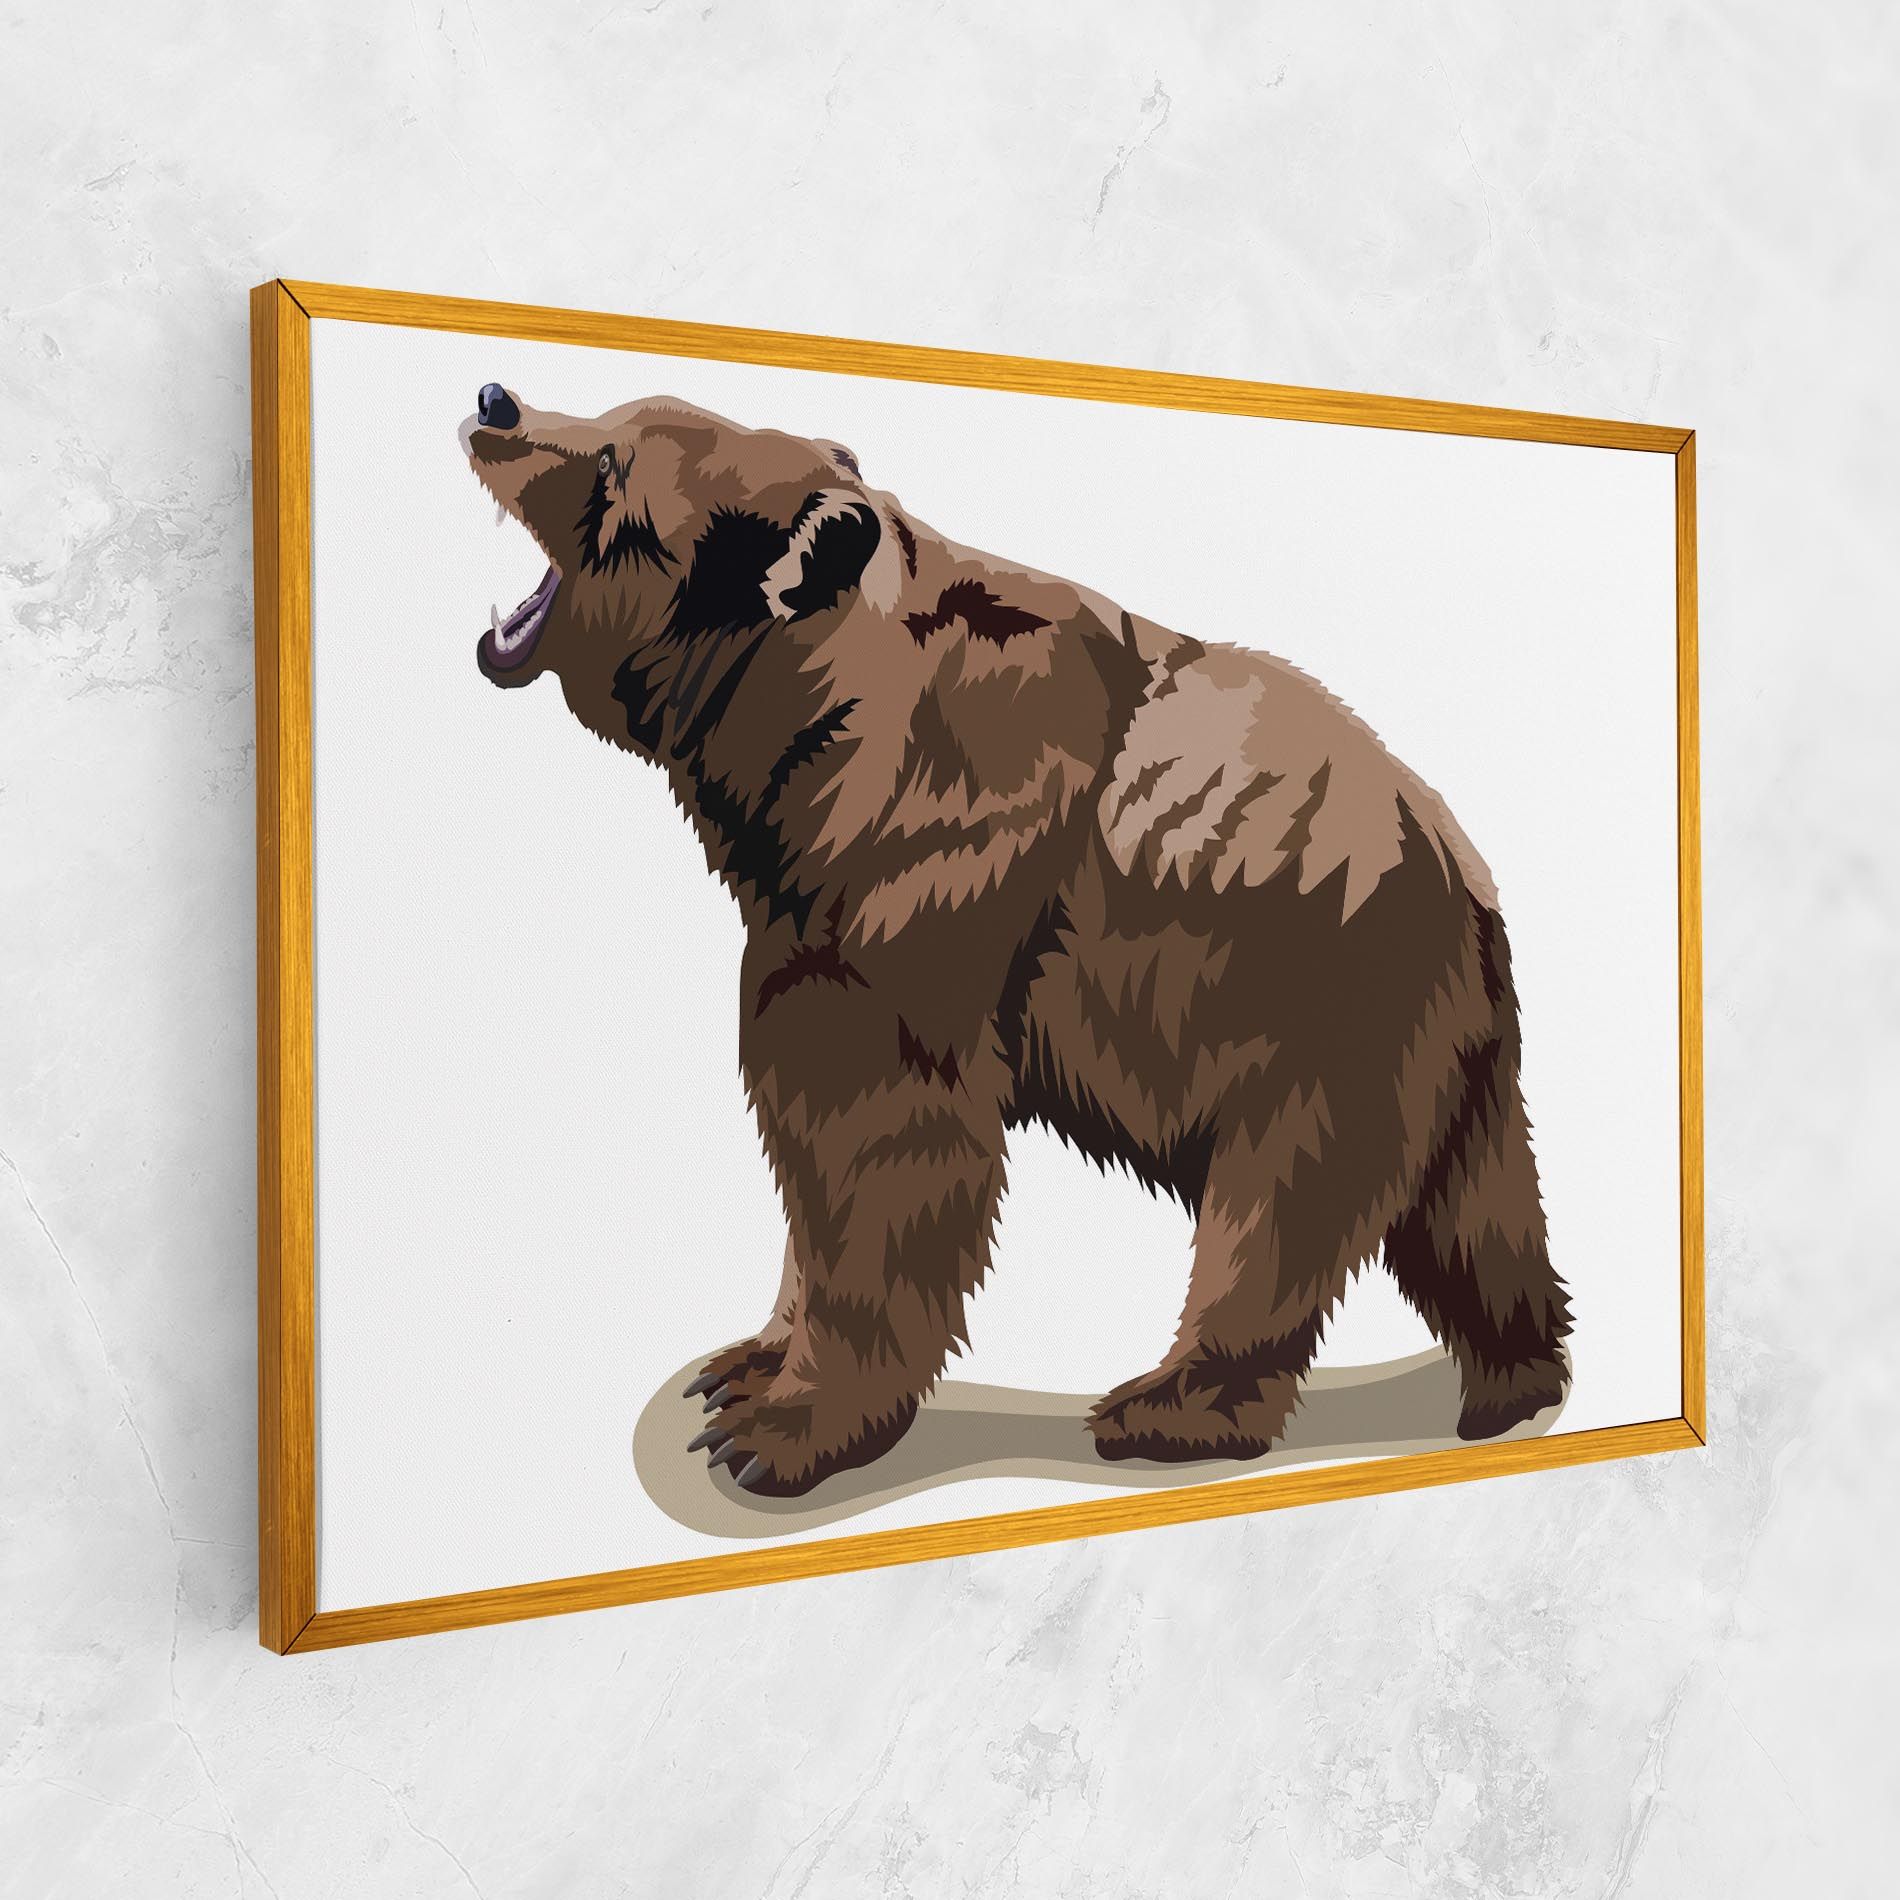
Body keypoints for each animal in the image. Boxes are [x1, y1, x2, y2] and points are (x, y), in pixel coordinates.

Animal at [460, 380, 1572, 1498]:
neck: (794, 741)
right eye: (611, 415)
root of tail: (1467, 871)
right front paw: (742, 1364)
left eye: (613, 470)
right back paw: (1513, 1380)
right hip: (1427, 1036)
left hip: (1318, 1003)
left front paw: (779, 1427)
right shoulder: (802, 899)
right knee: (1470, 1208)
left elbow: (880, 1137)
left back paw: (1162, 1406)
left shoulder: (937, 879)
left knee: (1278, 1209)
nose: (495, 402)